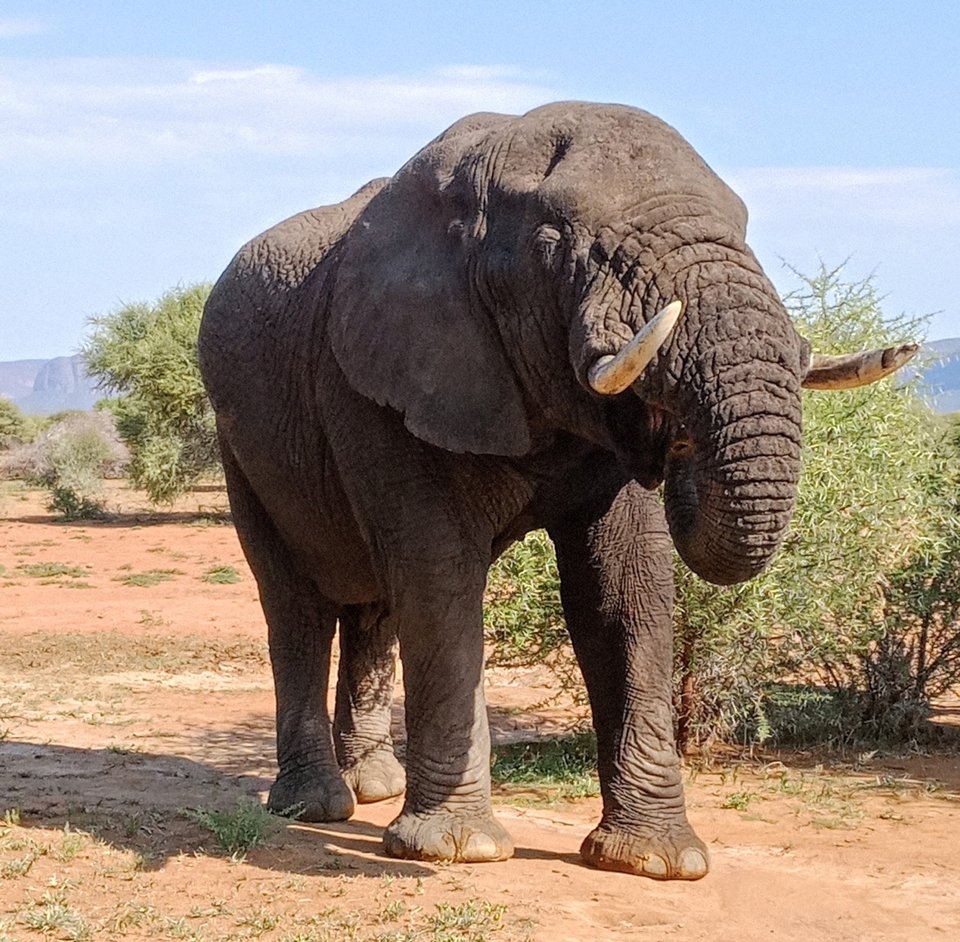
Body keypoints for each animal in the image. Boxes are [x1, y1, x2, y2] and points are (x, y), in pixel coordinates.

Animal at [198, 102, 916, 880]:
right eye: (558, 242)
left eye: (745, 222)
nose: (674, 438)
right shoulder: (371, 382)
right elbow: (439, 578)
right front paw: (459, 850)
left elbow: (625, 587)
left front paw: (659, 860)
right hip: (240, 446)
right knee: (298, 605)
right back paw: (316, 806)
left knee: (374, 609)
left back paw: (375, 787)